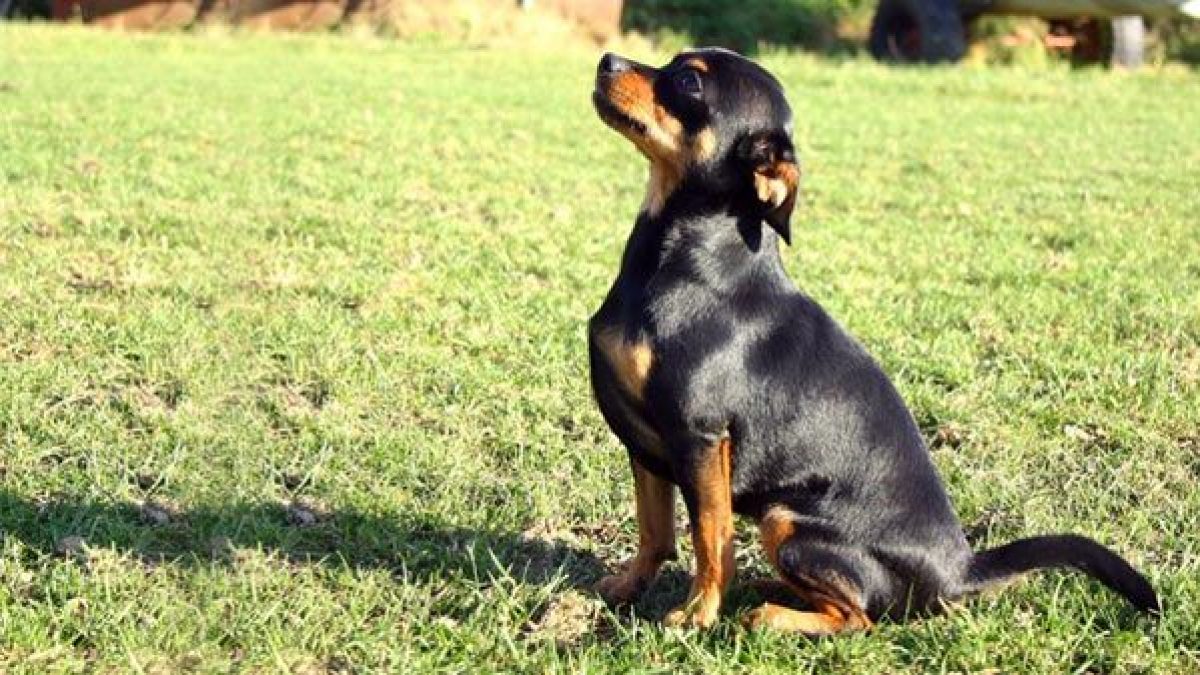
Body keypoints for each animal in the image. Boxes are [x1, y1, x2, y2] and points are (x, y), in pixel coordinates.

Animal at [585, 48, 1156, 629]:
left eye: (688, 81)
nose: (607, 60)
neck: (684, 260)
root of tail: (961, 571)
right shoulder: (647, 444)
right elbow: (655, 531)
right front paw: (627, 588)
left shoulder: (700, 438)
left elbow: (709, 536)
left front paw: (698, 614)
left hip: (786, 523)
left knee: (857, 618)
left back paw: (773, 614)